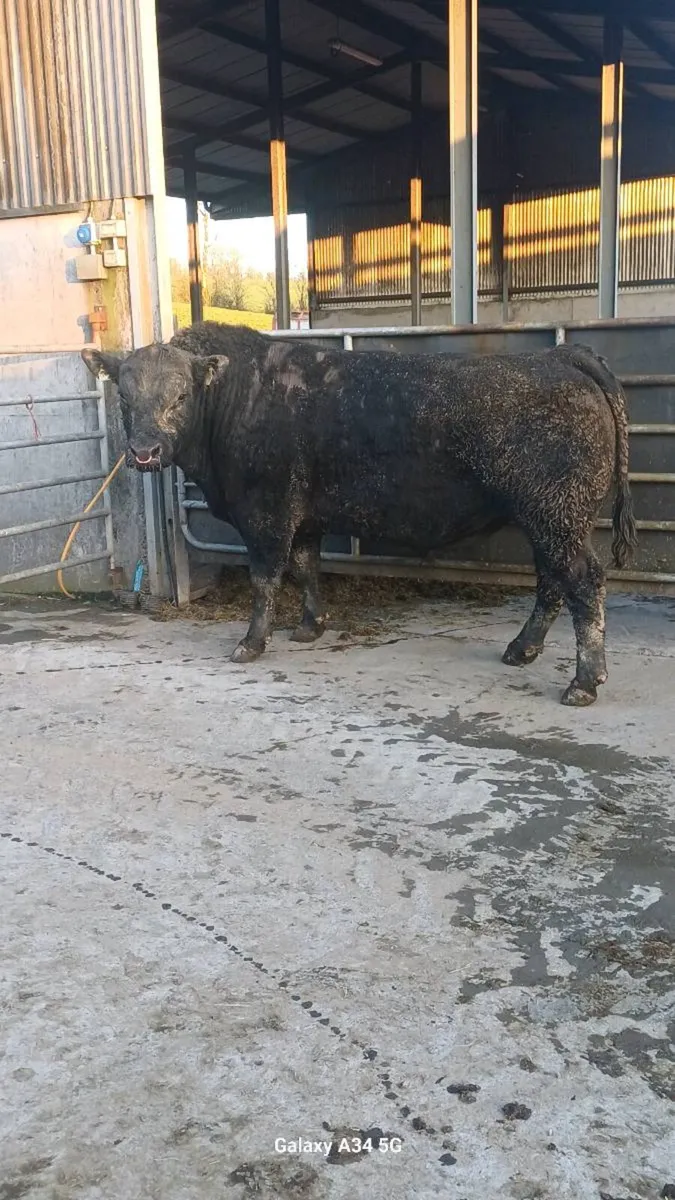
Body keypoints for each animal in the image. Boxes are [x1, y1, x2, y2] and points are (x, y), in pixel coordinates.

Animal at [82, 322, 637, 707]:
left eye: (180, 396)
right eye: (124, 397)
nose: (145, 452)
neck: (238, 398)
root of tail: (560, 356)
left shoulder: (265, 513)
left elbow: (266, 578)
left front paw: (251, 642)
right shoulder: (304, 517)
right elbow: (306, 567)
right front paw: (311, 626)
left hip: (556, 516)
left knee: (583, 582)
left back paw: (584, 681)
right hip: (550, 520)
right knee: (552, 583)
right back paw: (522, 649)